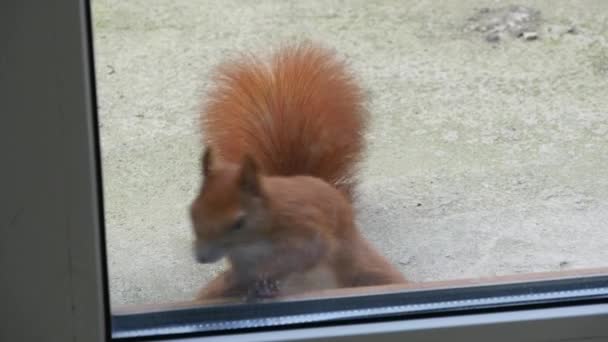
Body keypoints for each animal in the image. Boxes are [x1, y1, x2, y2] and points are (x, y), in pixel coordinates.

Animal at [189, 41, 408, 300]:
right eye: (192, 213)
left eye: (239, 223)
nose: (202, 257)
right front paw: (254, 284)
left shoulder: (304, 228)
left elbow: (307, 253)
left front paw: (267, 278)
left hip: (359, 268)